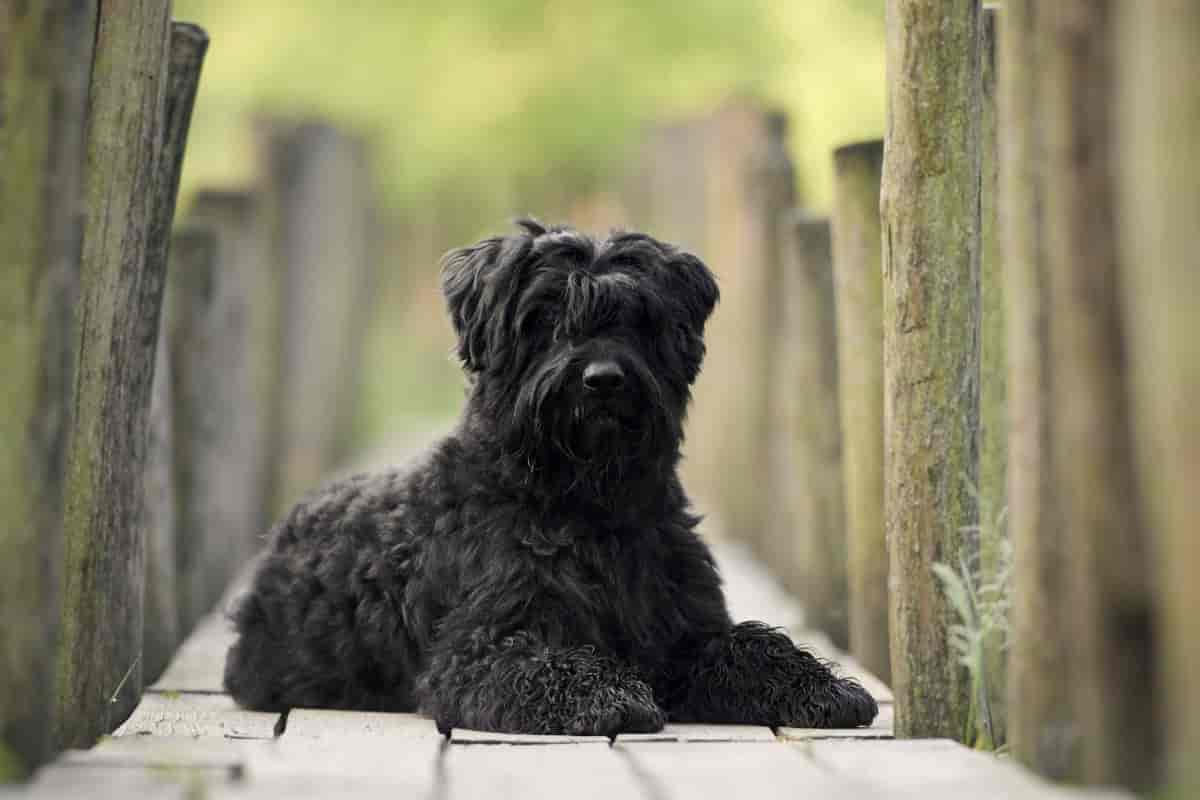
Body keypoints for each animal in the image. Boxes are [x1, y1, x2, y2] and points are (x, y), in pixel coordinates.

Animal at [225, 220, 878, 738]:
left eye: (638, 318)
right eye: (543, 317)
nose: (603, 379)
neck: (589, 507)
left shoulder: (682, 633)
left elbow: (753, 646)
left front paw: (823, 687)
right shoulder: (482, 649)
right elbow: (551, 662)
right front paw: (608, 695)